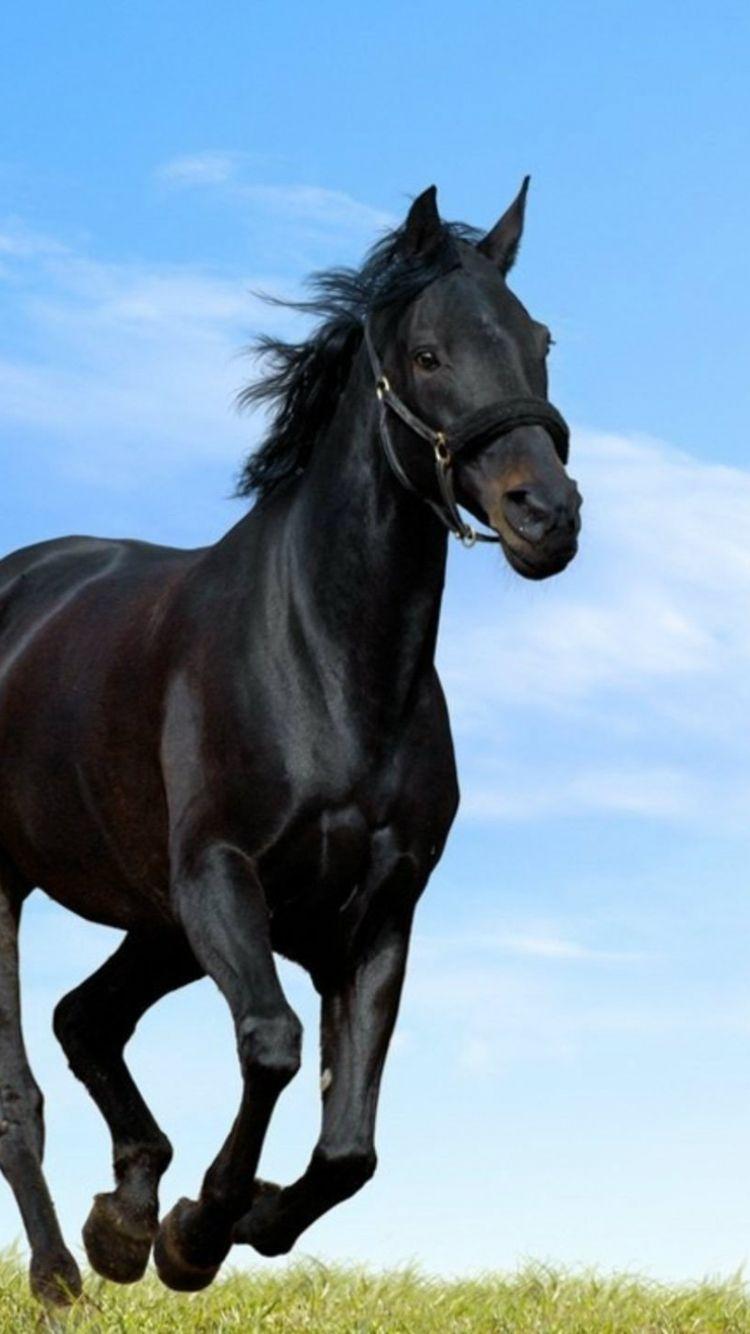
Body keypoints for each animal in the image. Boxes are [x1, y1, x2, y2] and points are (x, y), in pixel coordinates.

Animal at [0, 180, 581, 1304]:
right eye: (429, 354)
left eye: (540, 341)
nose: (548, 515)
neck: (327, 665)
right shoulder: (220, 877)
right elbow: (271, 1043)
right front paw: (193, 1232)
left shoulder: (375, 916)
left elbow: (350, 1146)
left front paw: (207, 1222)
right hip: (17, 890)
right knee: (22, 1095)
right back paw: (61, 1275)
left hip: (157, 921)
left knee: (85, 1018)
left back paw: (120, 1216)